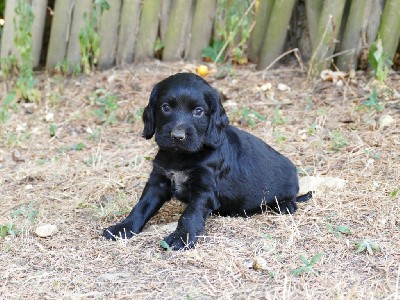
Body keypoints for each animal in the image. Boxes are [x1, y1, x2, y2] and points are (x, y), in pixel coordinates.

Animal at [102, 72, 310, 248]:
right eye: (166, 107)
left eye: (198, 111)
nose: (178, 136)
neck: (181, 156)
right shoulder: (158, 181)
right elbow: (141, 206)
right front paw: (122, 228)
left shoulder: (204, 189)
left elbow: (190, 214)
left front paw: (181, 238)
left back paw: (285, 204)